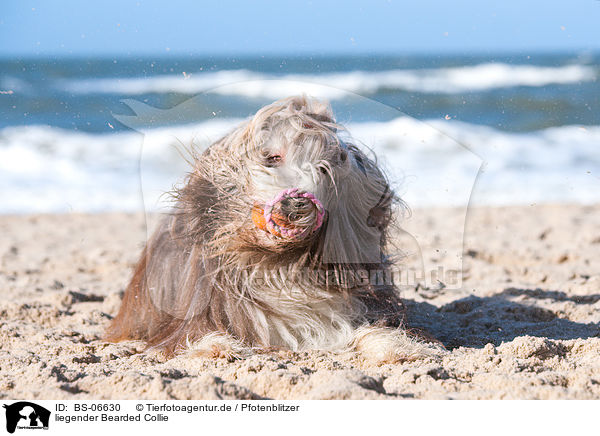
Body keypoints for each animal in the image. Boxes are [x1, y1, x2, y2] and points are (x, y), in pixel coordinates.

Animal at [104, 96, 432, 364]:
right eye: (272, 157)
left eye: (323, 169)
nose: (295, 203)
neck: (277, 261)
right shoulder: (195, 316)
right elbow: (196, 336)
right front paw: (218, 347)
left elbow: (369, 331)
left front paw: (399, 347)